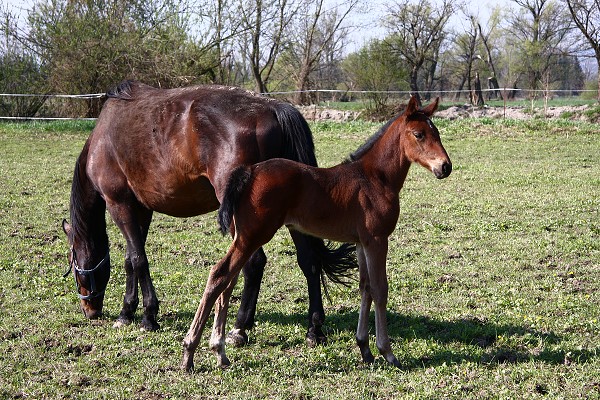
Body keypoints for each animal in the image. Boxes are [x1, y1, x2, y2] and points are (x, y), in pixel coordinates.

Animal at [61, 80, 354, 344]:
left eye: (74, 266)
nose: (90, 311)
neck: (103, 139)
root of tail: (273, 108)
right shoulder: (141, 209)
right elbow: (131, 259)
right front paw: (127, 312)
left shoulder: (119, 203)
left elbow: (138, 260)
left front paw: (147, 316)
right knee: (309, 261)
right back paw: (314, 329)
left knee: (254, 263)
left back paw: (239, 329)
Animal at [180, 95, 452, 370]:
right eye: (418, 134)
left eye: (437, 133)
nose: (445, 167)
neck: (375, 178)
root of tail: (249, 172)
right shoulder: (377, 240)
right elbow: (379, 289)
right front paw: (387, 352)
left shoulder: (362, 242)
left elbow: (365, 287)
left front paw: (364, 348)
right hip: (252, 235)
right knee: (219, 274)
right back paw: (190, 351)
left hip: (243, 236)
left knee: (229, 281)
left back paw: (219, 352)